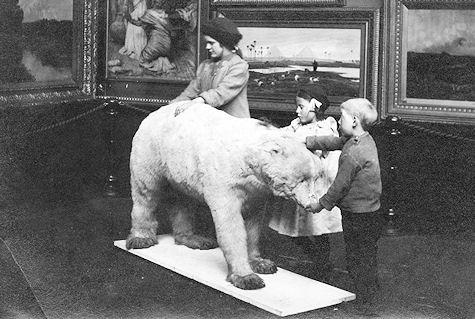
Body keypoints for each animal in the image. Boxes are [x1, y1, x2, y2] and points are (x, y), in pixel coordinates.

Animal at [126, 102, 320, 290]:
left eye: (316, 177)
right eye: (302, 179)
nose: (313, 204)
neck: (246, 157)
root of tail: (154, 113)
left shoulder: (256, 191)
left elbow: (253, 224)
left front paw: (262, 263)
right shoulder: (225, 180)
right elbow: (230, 224)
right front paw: (247, 278)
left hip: (180, 169)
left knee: (183, 200)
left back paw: (195, 239)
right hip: (152, 152)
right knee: (146, 192)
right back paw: (141, 238)